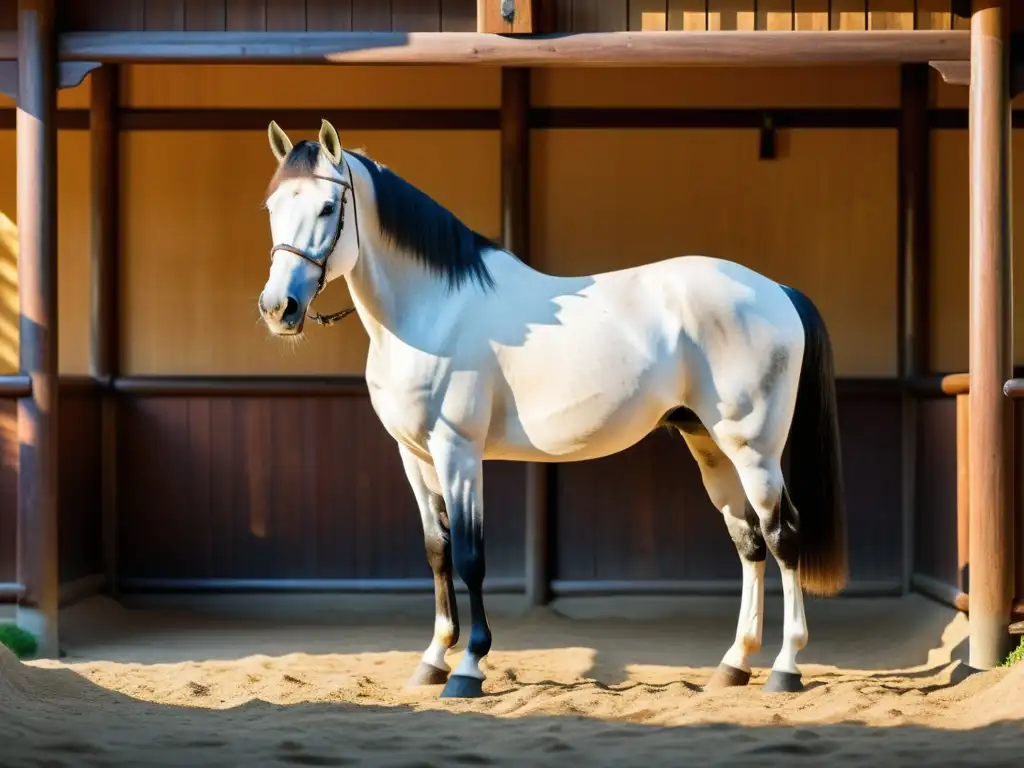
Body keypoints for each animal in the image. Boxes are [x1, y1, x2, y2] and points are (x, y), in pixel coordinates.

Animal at [258, 117, 847, 700]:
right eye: (271, 208)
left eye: (328, 208)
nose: (278, 309)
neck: (435, 311)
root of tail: (776, 290)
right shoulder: (415, 457)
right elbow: (437, 550)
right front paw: (432, 660)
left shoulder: (458, 453)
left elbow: (471, 556)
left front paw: (468, 668)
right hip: (710, 446)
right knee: (749, 542)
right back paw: (734, 664)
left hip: (754, 450)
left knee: (784, 537)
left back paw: (785, 668)